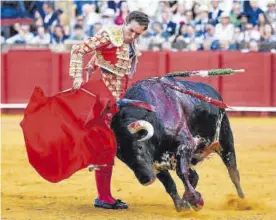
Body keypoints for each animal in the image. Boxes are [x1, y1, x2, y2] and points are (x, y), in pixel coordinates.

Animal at [110, 77, 244, 211]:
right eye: (123, 158)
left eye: (139, 146)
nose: (146, 179)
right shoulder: (156, 164)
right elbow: (169, 183)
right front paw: (182, 205)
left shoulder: (186, 144)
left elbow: (181, 172)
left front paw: (196, 200)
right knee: (194, 175)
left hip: (226, 141)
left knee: (233, 171)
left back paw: (242, 201)